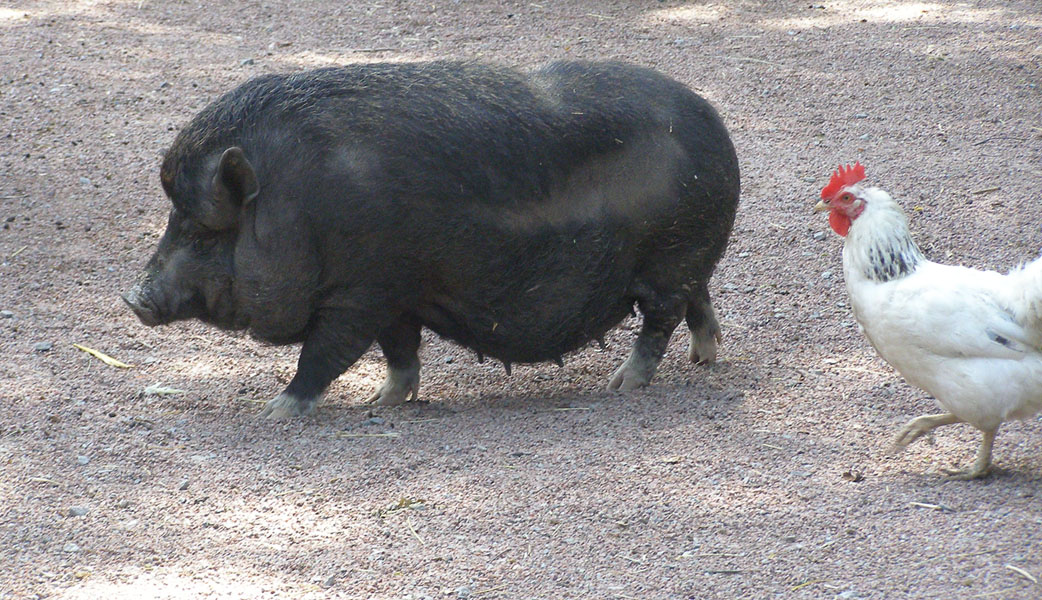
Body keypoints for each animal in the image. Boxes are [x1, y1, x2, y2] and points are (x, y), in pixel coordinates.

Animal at [121, 59, 741, 416]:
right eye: (175, 221)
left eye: (205, 234)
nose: (132, 297)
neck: (296, 209)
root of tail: (716, 126)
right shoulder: (398, 297)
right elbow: (399, 352)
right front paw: (383, 402)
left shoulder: (362, 291)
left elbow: (325, 353)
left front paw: (274, 413)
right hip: (686, 260)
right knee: (698, 303)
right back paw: (704, 358)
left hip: (672, 256)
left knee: (659, 320)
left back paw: (623, 385)